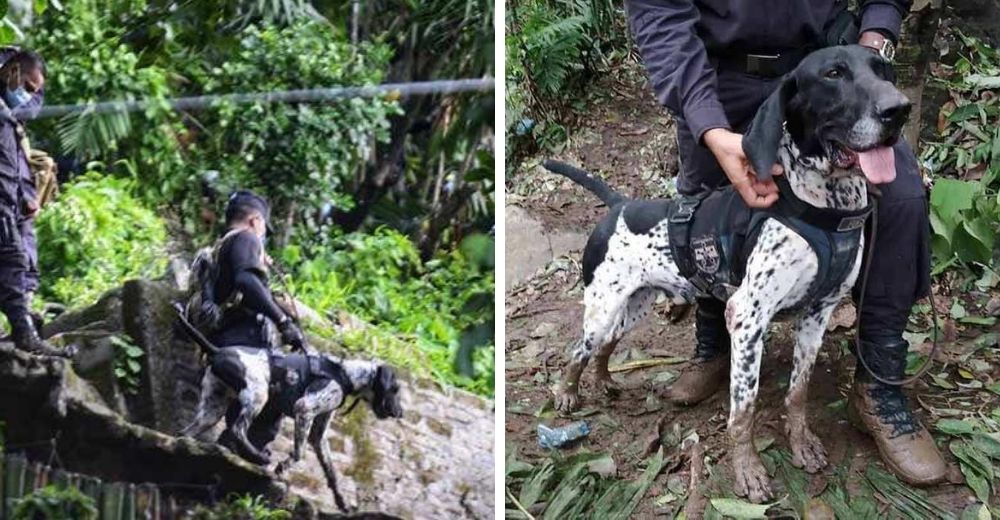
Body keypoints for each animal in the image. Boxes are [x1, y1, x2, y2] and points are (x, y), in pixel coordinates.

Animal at [544, 46, 912, 502]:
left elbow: (799, 392)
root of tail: (619, 205)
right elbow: (744, 411)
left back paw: (605, 381)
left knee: (607, 344)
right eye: (833, 74)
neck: (827, 204)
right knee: (579, 348)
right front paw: (748, 472)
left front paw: (801, 443)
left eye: (883, 68)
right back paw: (566, 394)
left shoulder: (819, 312)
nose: (899, 109)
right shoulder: (748, 317)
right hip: (603, 306)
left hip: (634, 305)